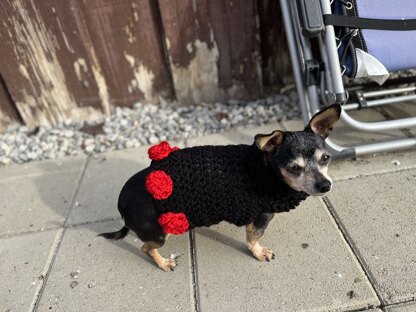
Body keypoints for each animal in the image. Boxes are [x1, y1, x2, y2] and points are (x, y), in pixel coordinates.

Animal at [100, 104, 342, 270]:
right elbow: (253, 238)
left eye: (326, 158)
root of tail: (121, 202)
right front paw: (258, 252)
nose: (325, 185)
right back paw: (163, 263)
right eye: (294, 168)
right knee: (146, 248)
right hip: (158, 232)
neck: (262, 169)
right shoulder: (261, 215)